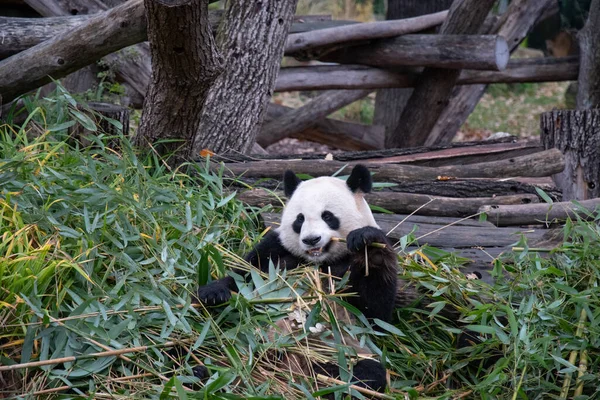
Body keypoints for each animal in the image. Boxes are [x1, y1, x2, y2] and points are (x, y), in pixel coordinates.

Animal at [197, 164, 400, 396]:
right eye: (299, 219)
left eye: (328, 216)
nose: (311, 240)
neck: (317, 262)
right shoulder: (274, 251)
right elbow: (244, 275)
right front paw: (213, 293)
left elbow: (376, 317)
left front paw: (367, 242)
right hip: (242, 343)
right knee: (215, 356)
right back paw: (204, 374)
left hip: (342, 353)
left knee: (365, 374)